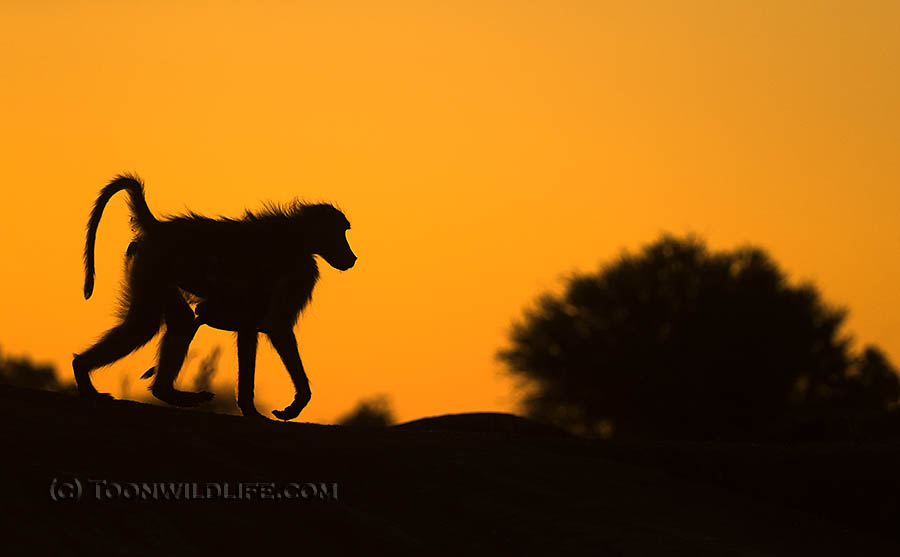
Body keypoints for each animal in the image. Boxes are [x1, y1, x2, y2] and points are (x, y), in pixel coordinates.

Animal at [73, 173, 356, 420]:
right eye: (341, 233)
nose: (352, 257)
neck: (295, 236)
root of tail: (159, 228)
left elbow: (250, 324)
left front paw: (252, 408)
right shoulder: (303, 271)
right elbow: (274, 326)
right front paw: (288, 404)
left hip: (151, 268)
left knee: (160, 323)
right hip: (155, 265)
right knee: (158, 324)